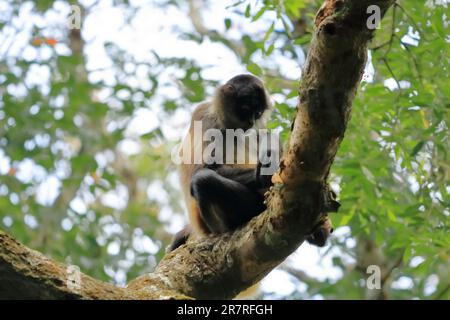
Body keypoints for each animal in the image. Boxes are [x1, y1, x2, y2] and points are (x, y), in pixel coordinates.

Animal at [169, 73, 334, 252]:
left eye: (258, 112)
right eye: (246, 109)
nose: (250, 122)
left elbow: (266, 135)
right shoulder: (205, 117)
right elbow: (203, 169)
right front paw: (268, 174)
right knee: (203, 179)